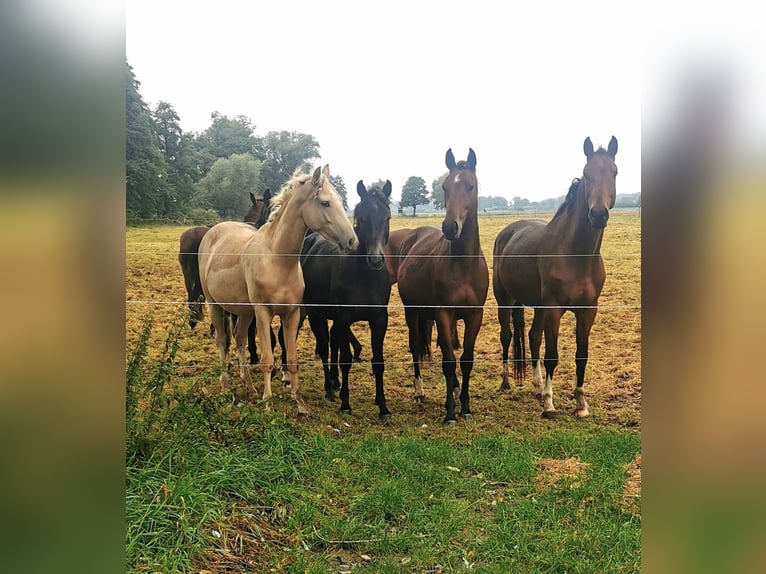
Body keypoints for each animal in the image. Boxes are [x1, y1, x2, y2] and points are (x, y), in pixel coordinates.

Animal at [195, 164, 356, 416]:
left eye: (339, 200)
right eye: (325, 202)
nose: (352, 241)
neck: (277, 258)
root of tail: (212, 232)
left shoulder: (292, 314)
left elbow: (291, 358)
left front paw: (300, 403)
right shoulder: (263, 313)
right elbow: (268, 359)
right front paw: (269, 403)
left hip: (244, 311)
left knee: (239, 338)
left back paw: (249, 386)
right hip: (215, 305)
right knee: (223, 341)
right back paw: (226, 386)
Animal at [300, 180, 396, 418]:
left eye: (387, 218)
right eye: (360, 220)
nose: (375, 259)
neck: (363, 276)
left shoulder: (379, 319)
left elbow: (378, 362)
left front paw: (383, 406)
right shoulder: (344, 318)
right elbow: (345, 361)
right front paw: (345, 403)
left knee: (332, 342)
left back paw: (334, 382)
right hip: (315, 314)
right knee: (324, 346)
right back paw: (329, 389)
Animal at [392, 150, 488, 428]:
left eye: (470, 186)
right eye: (444, 187)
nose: (450, 227)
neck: (463, 264)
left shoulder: (474, 315)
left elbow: (465, 360)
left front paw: (465, 406)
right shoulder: (443, 313)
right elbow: (448, 361)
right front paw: (450, 413)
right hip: (412, 311)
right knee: (416, 346)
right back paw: (419, 391)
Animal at [496, 137, 620, 420]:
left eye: (614, 172)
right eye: (587, 174)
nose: (598, 214)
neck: (576, 256)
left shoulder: (588, 311)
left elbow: (581, 355)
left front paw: (581, 404)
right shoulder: (554, 309)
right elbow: (552, 354)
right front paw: (550, 405)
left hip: (537, 306)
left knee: (532, 337)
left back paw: (537, 385)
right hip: (505, 299)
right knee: (507, 336)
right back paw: (507, 382)